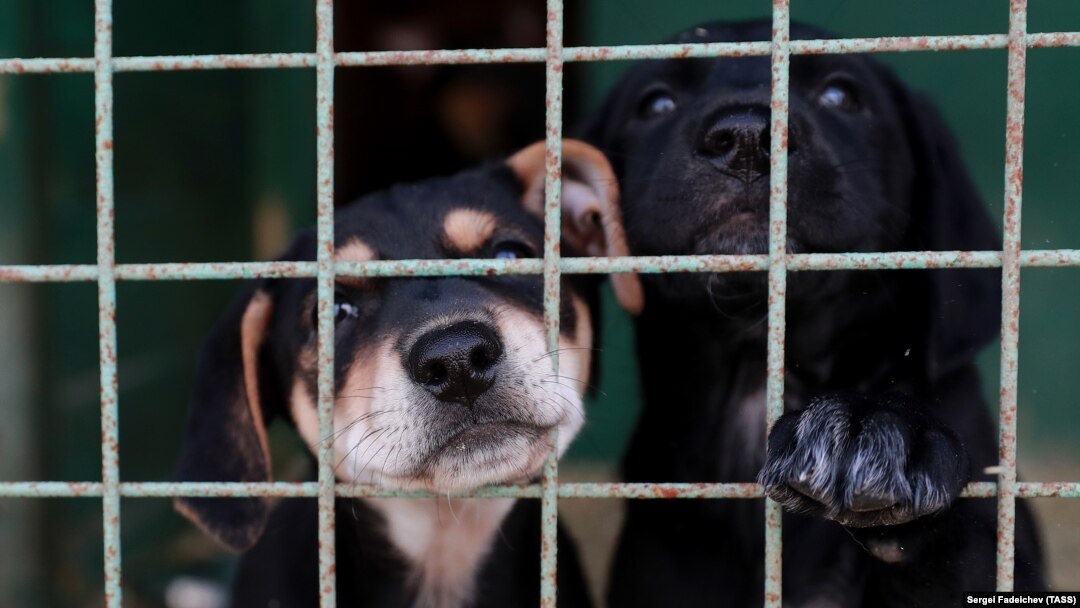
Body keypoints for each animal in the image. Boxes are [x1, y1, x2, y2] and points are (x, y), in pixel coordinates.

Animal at [583, 19, 1045, 608]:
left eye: (841, 95)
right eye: (656, 103)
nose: (746, 139)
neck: (751, 378)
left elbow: (961, 555)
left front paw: (878, 430)